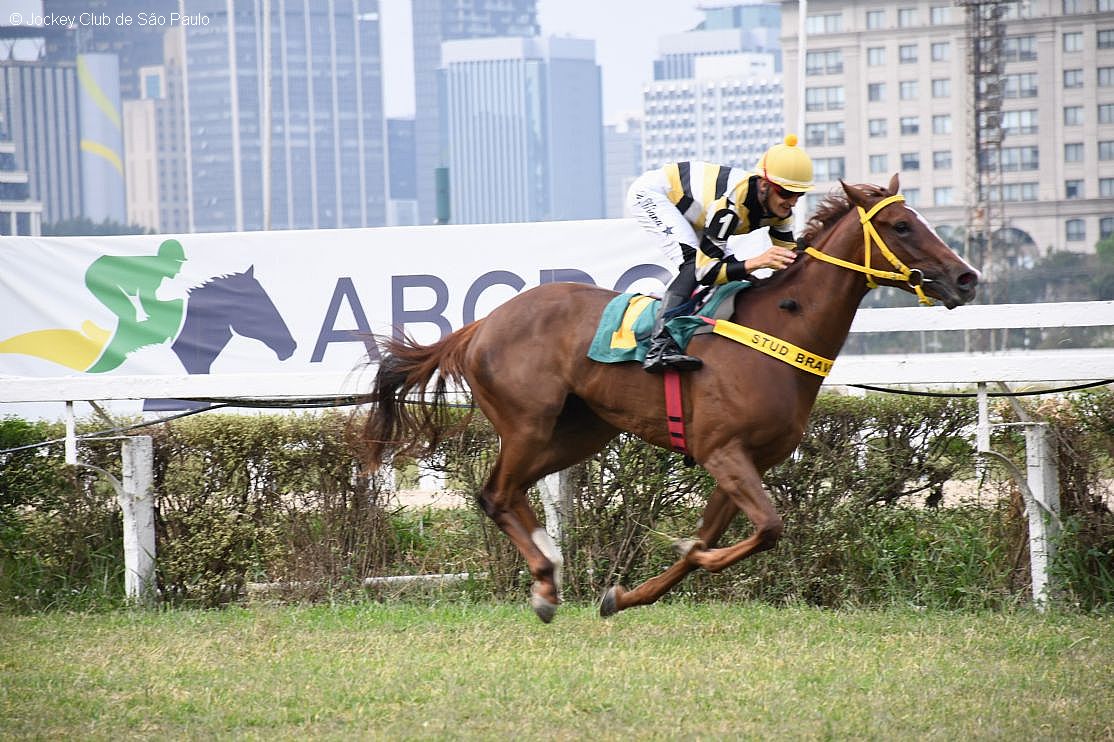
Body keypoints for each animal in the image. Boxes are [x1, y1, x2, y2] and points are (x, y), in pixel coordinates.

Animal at [363, 176, 975, 619]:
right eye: (901, 225)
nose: (967, 279)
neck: (779, 328)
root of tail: (482, 324)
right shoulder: (723, 451)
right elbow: (766, 530)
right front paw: (686, 551)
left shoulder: (743, 462)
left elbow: (729, 540)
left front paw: (626, 594)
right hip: (528, 423)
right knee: (493, 493)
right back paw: (542, 582)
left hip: (581, 432)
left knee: (508, 492)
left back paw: (549, 571)